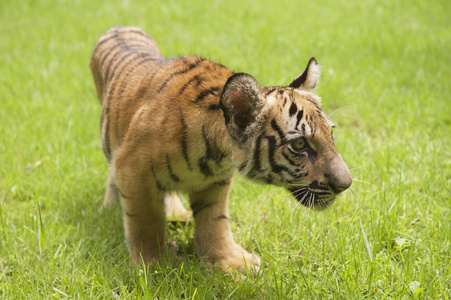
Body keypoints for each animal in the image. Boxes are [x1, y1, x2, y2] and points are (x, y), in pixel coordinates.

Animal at [90, 26, 354, 274]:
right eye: (299, 144)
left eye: (331, 133)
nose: (346, 184)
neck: (215, 155)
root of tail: (121, 26)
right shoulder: (133, 167)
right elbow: (146, 221)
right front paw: (155, 265)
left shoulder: (215, 182)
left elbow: (214, 221)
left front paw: (231, 262)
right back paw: (111, 206)